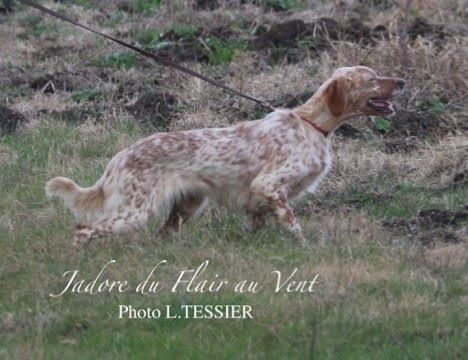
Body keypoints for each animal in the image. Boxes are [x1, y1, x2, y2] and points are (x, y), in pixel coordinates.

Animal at [48, 65, 406, 245]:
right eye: (373, 78)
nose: (402, 81)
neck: (311, 124)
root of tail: (119, 158)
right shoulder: (269, 185)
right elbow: (293, 224)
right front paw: (304, 247)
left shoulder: (260, 199)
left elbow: (258, 224)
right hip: (135, 211)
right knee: (83, 231)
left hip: (187, 205)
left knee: (163, 234)